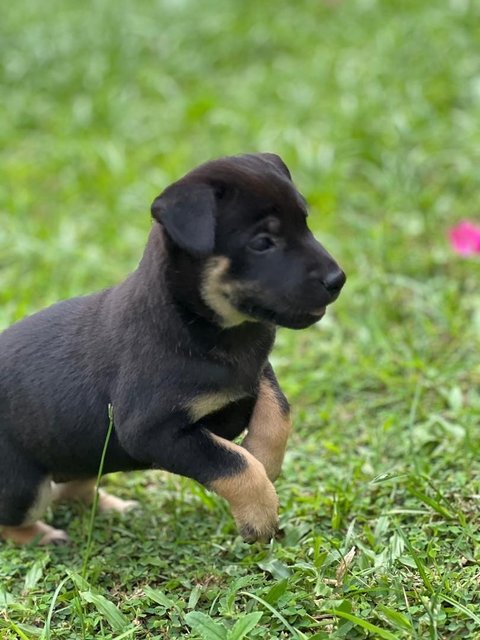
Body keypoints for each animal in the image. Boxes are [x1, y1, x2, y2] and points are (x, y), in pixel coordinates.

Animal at [0, 152, 344, 544]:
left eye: (305, 222)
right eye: (261, 243)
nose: (338, 279)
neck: (209, 329)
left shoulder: (259, 372)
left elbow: (278, 414)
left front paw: (265, 458)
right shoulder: (154, 431)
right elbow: (234, 464)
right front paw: (259, 515)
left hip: (82, 452)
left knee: (75, 485)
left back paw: (112, 507)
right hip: (24, 484)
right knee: (13, 519)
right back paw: (43, 536)